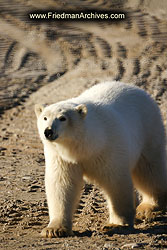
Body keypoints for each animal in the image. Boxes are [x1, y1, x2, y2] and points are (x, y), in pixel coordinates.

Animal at [34, 81, 167, 237]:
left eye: (62, 118)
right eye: (45, 118)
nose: (48, 131)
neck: (86, 146)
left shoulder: (109, 148)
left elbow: (116, 182)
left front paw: (116, 225)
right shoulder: (61, 157)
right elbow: (62, 184)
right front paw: (54, 229)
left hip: (148, 130)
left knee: (148, 170)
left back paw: (147, 207)